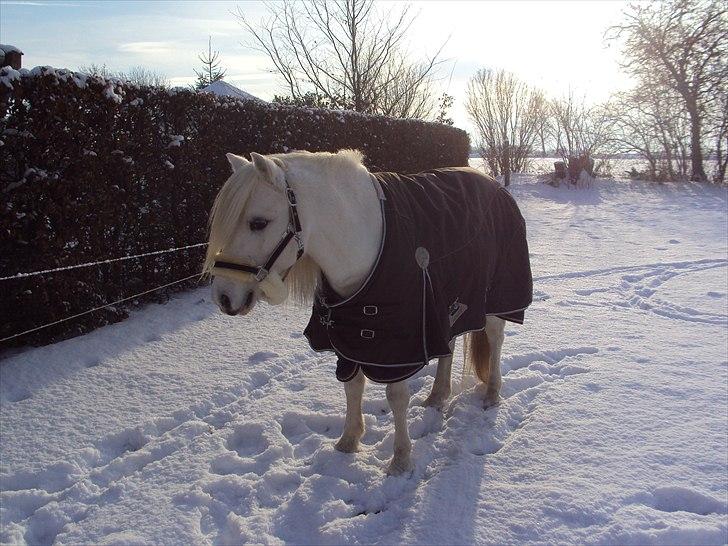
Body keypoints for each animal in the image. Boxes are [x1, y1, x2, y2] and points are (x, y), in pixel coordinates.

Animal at [202, 148, 532, 472]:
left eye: (258, 222)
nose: (223, 297)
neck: (364, 242)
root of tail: (494, 185)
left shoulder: (397, 347)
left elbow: (396, 396)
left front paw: (401, 459)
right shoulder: (349, 337)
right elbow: (352, 386)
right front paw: (348, 441)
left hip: (495, 300)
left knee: (495, 339)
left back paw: (491, 394)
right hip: (445, 305)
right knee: (447, 346)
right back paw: (437, 396)